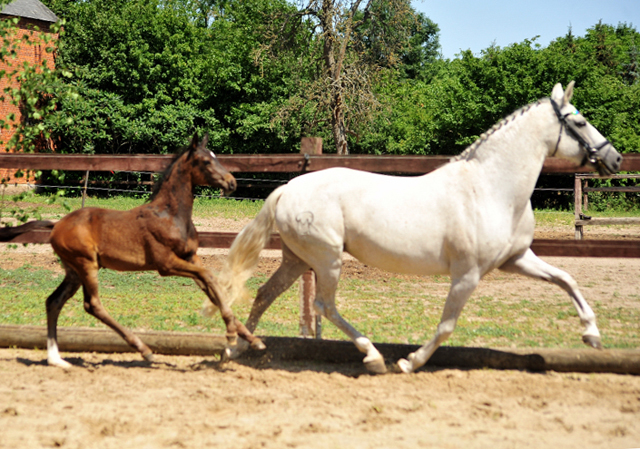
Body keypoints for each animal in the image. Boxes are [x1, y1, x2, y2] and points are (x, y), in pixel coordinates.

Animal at [212, 82, 624, 372]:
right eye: (580, 121)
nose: (615, 158)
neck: (492, 189)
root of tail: (288, 188)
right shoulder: (467, 274)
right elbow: (446, 326)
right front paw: (410, 362)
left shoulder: (517, 259)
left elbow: (566, 279)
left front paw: (592, 336)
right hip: (327, 259)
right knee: (324, 305)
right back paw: (374, 357)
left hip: (297, 259)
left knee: (265, 293)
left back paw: (237, 348)